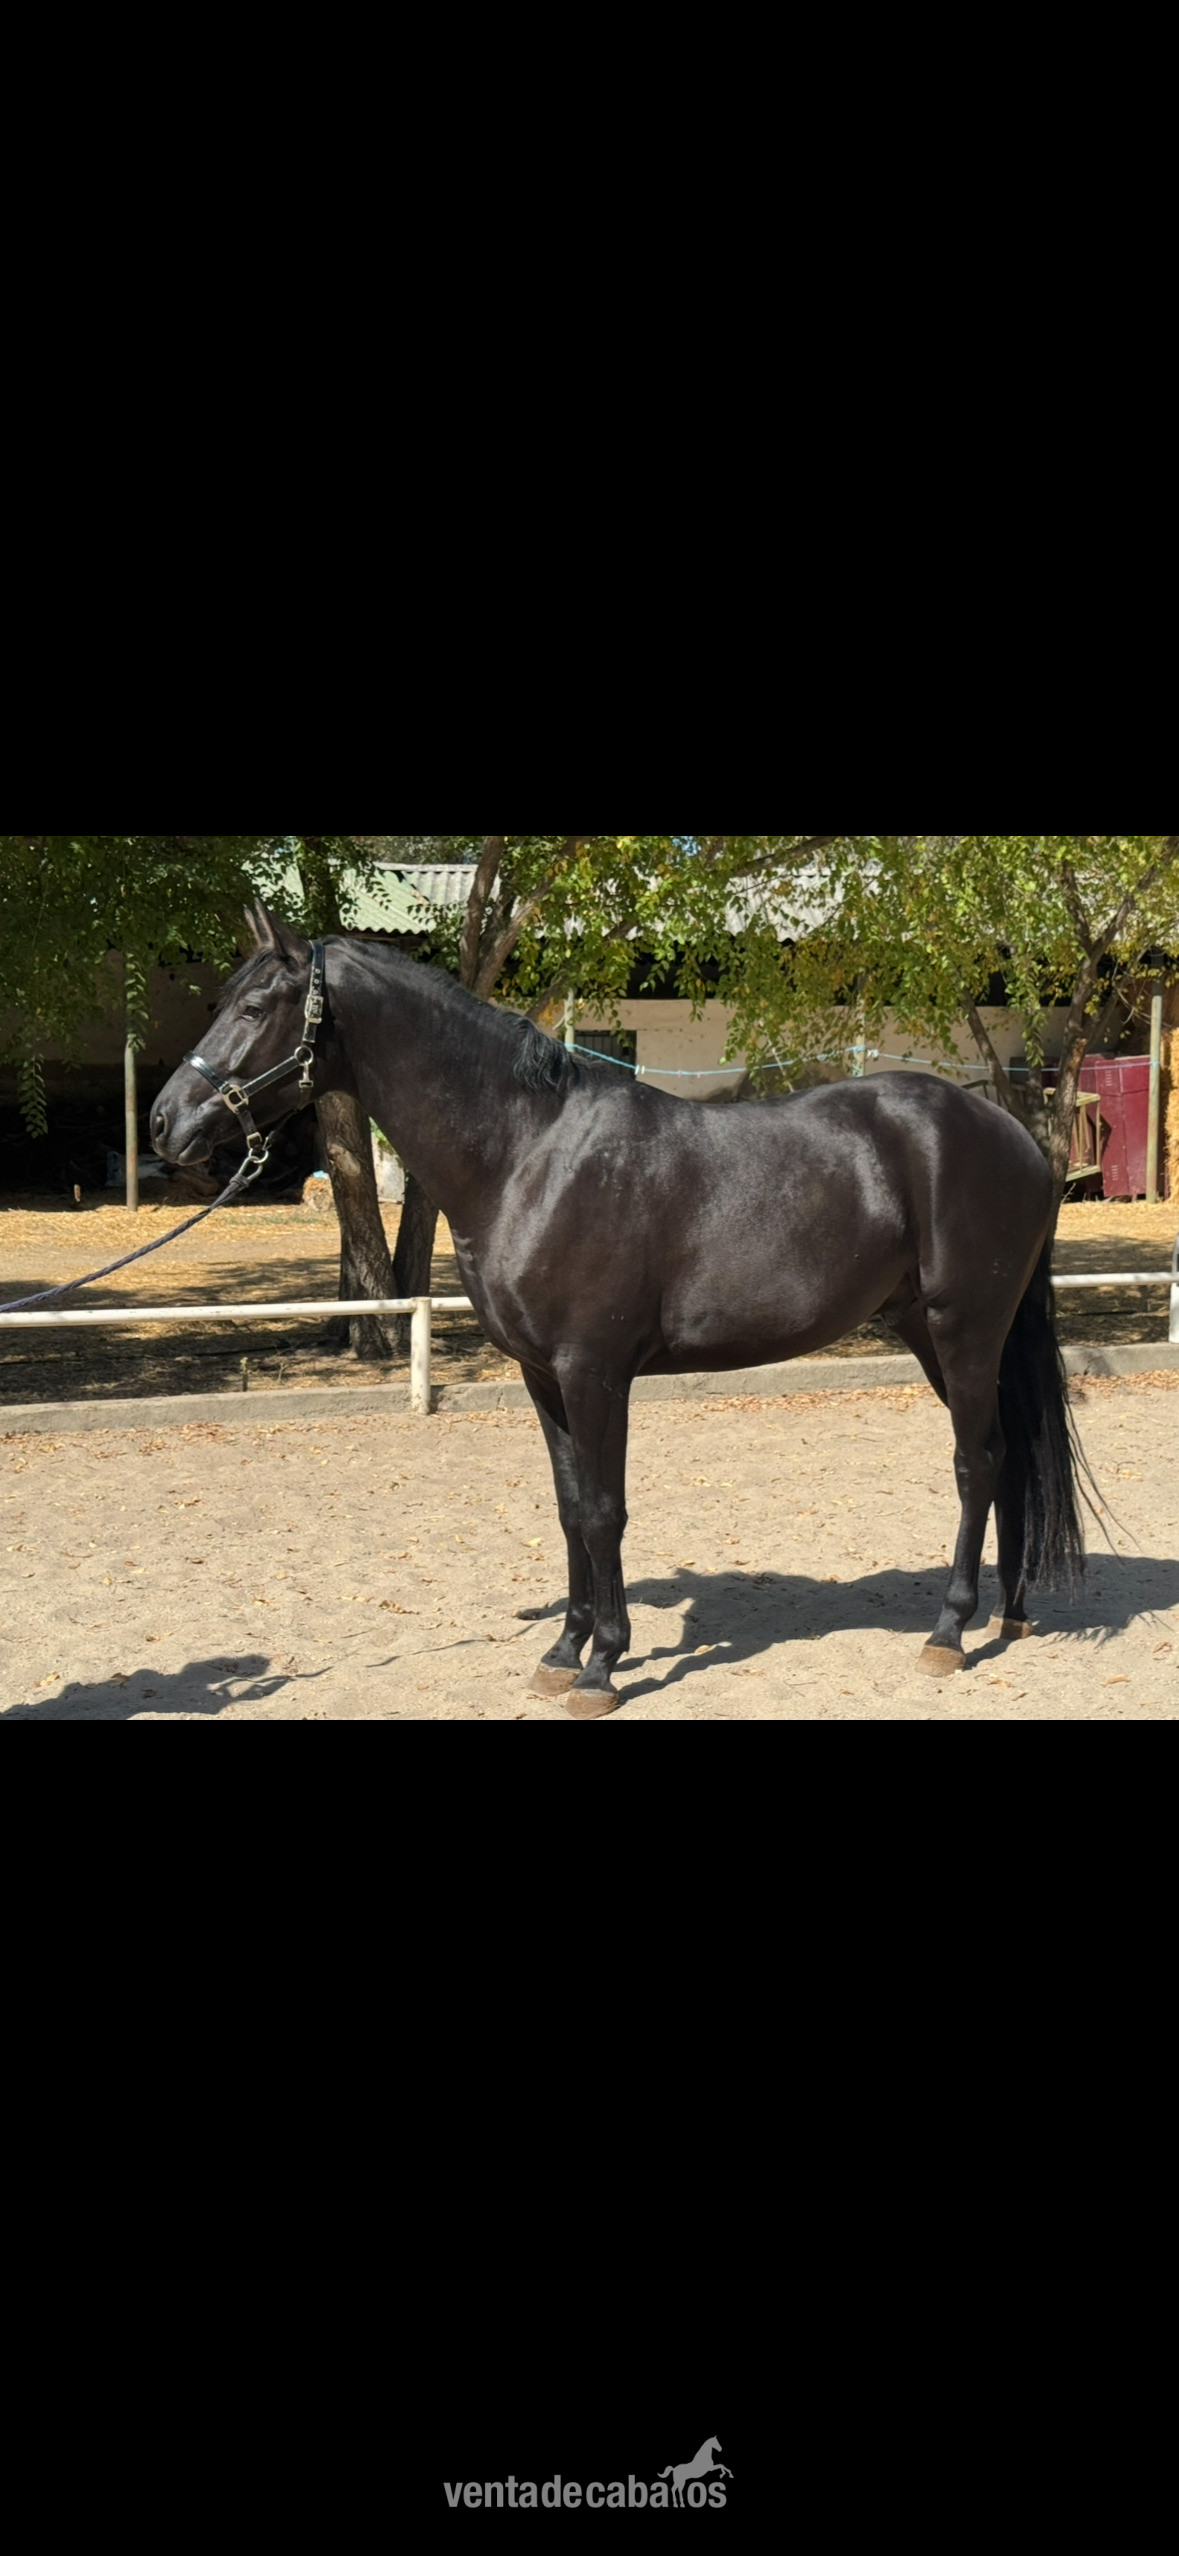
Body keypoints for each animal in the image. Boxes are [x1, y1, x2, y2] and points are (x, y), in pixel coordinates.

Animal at [151, 903, 1084, 1718]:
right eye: (222, 1000)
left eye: (253, 1007)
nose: (165, 1124)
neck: (528, 1154)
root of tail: (1015, 1134)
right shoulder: (541, 1377)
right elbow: (570, 1509)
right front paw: (561, 1652)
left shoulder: (594, 1372)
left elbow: (604, 1511)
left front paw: (602, 1665)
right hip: (931, 1330)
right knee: (1006, 1457)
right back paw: (1008, 1613)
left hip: (964, 1330)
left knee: (975, 1462)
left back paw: (948, 1631)